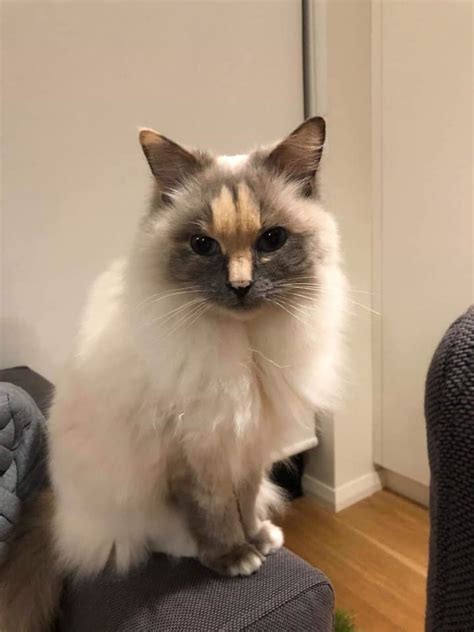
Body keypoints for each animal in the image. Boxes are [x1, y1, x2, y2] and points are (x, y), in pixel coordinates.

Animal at [0, 116, 344, 628]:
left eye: (271, 240)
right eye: (203, 245)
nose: (240, 286)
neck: (243, 347)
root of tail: (59, 506)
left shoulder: (244, 441)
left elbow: (244, 501)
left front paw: (256, 538)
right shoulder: (197, 449)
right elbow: (214, 513)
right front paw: (234, 556)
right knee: (146, 536)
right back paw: (189, 547)